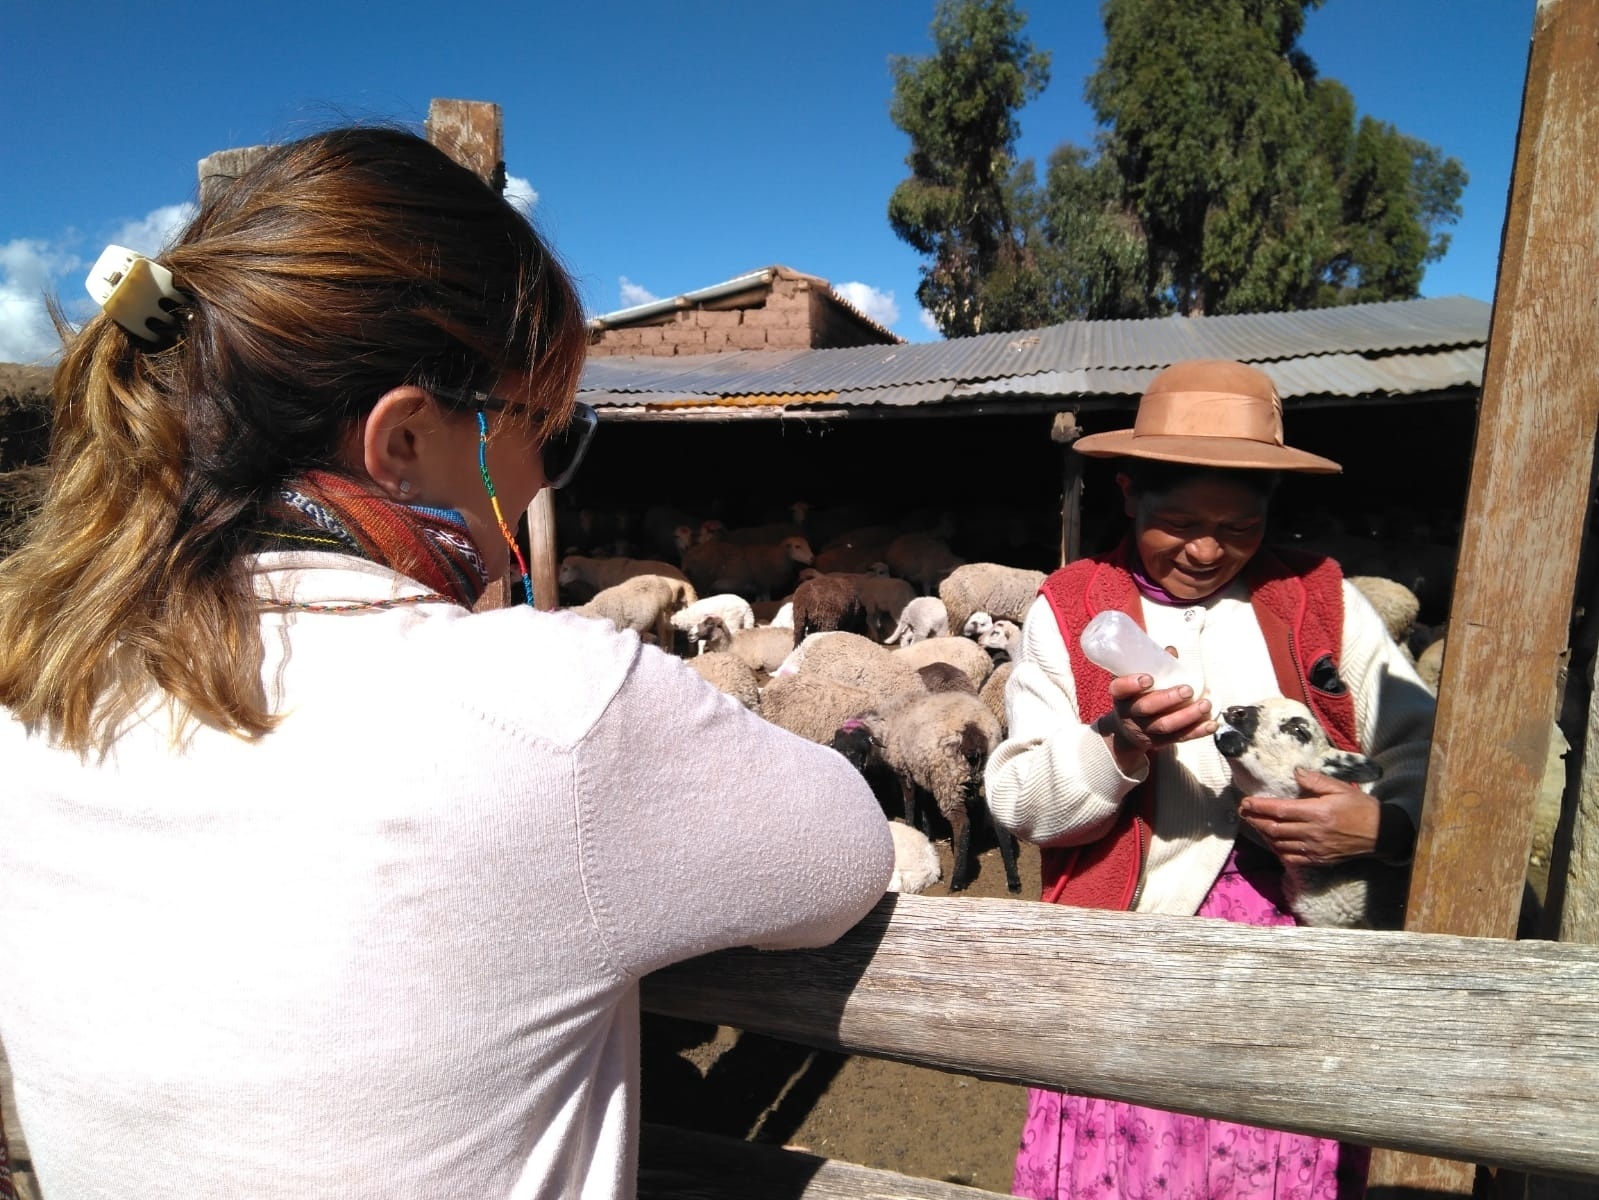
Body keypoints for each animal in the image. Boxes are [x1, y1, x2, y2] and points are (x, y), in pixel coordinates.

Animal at [831, 691, 1016, 896]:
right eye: (838, 750)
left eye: (859, 749)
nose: (852, 773)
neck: (887, 723)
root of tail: (974, 731)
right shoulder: (921, 771)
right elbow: (924, 806)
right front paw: (927, 834)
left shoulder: (904, 770)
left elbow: (910, 803)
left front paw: (911, 827)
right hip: (985, 773)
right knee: (999, 824)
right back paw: (1013, 879)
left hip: (948, 778)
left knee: (962, 824)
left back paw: (957, 881)